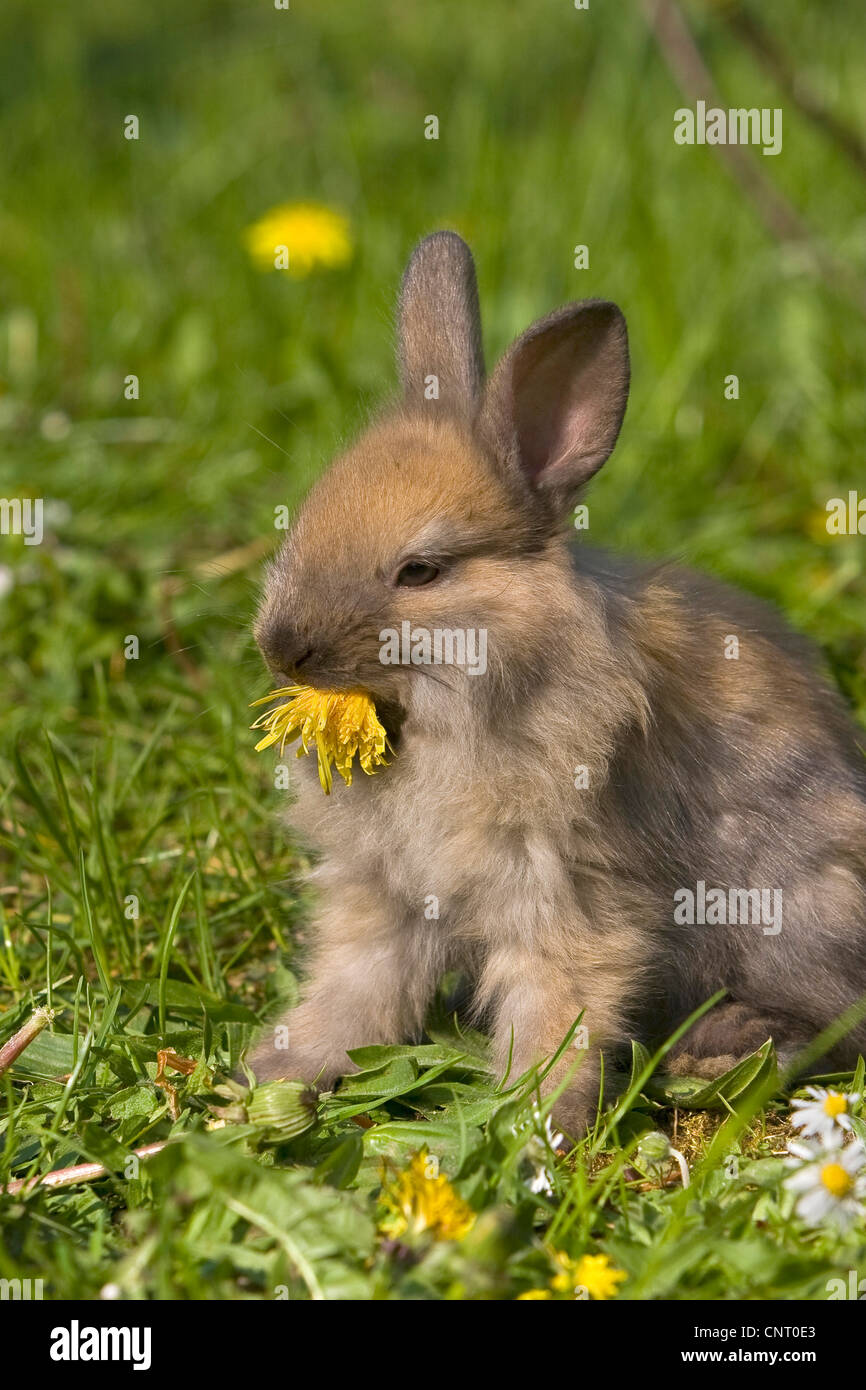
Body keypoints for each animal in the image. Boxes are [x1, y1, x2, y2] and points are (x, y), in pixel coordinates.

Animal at [247, 230, 866, 1136]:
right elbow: (354, 990)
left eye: (420, 571)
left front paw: (535, 1129)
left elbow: (557, 1010)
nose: (281, 647)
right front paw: (274, 1078)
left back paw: (718, 1048)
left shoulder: (565, 894)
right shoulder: (384, 898)